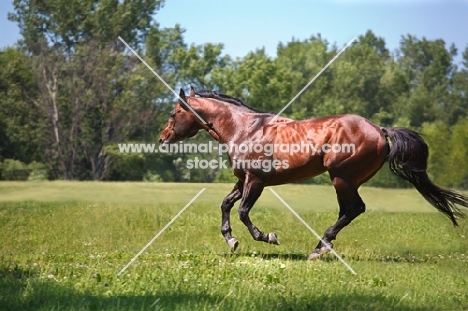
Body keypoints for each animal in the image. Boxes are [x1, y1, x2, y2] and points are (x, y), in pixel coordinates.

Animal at [159, 86, 466, 260]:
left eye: (174, 113)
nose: (162, 139)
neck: (244, 129)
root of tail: (380, 130)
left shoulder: (256, 181)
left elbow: (244, 212)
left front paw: (268, 237)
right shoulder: (242, 179)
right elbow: (225, 205)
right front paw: (231, 240)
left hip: (341, 178)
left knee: (354, 209)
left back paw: (319, 249)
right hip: (347, 181)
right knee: (349, 211)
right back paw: (321, 247)